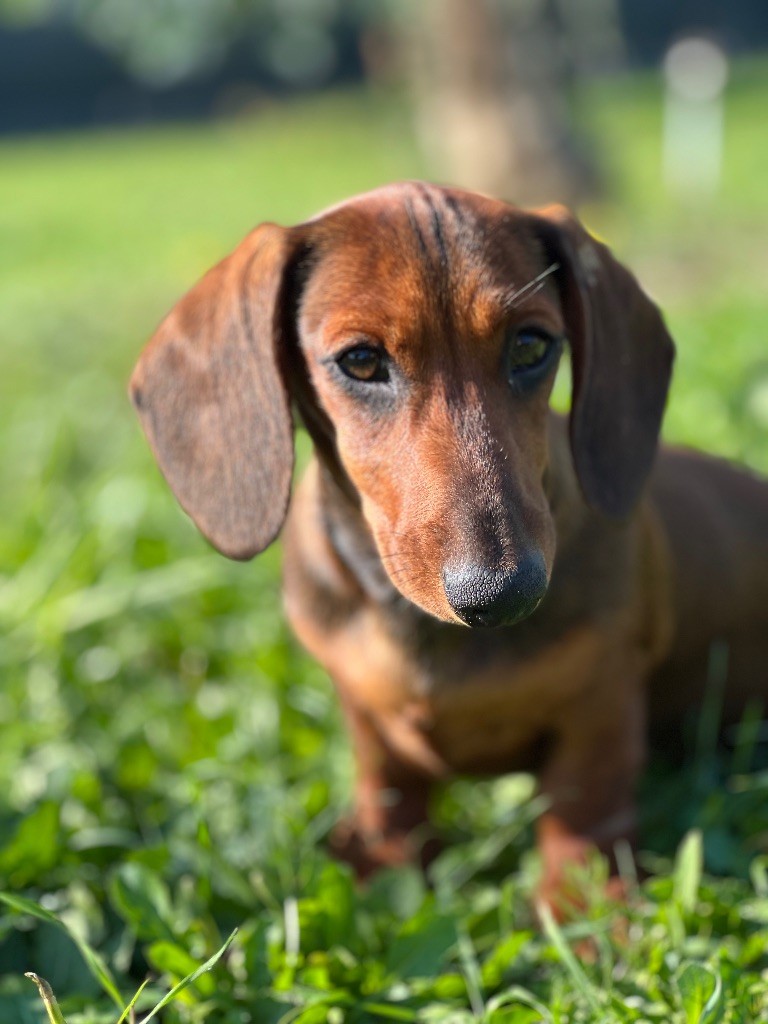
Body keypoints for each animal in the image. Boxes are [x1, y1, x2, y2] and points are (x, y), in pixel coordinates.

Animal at [132, 182, 768, 905]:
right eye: (360, 360)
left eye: (532, 346)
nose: (503, 593)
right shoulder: (364, 713)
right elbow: (389, 793)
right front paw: (381, 866)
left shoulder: (603, 704)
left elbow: (583, 807)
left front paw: (579, 909)